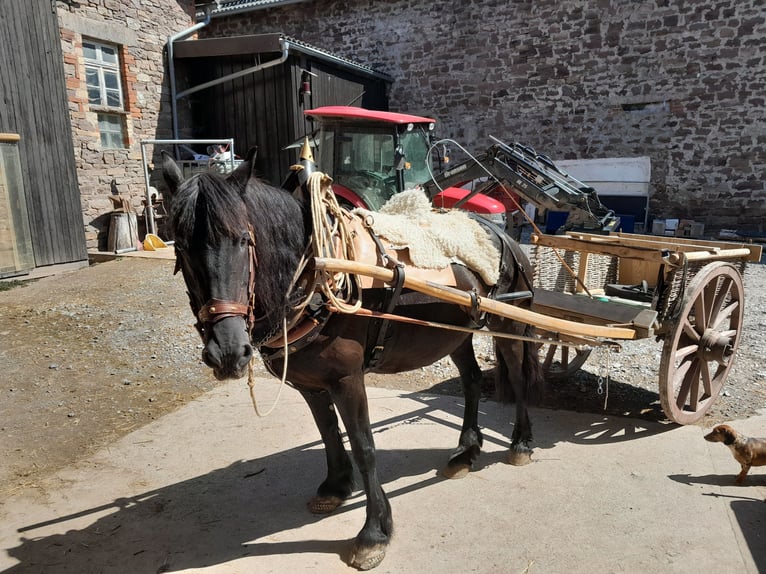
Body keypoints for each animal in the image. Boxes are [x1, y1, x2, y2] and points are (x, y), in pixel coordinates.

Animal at [161, 152, 542, 570]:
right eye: (181, 246)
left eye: (244, 240)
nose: (228, 351)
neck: (318, 271)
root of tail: (501, 233)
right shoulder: (310, 383)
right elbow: (329, 432)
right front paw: (336, 486)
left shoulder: (347, 378)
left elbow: (364, 446)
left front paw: (374, 532)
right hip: (455, 332)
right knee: (472, 380)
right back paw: (466, 451)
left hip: (510, 323)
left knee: (518, 379)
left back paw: (521, 444)